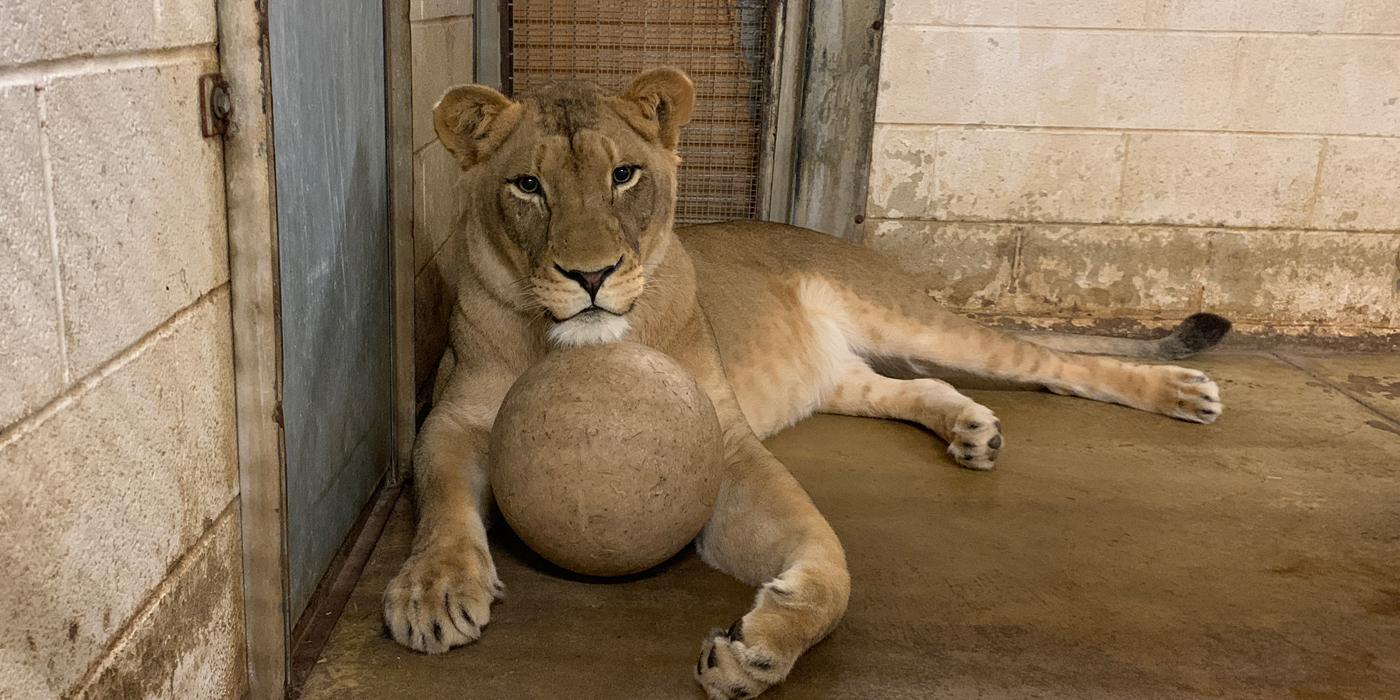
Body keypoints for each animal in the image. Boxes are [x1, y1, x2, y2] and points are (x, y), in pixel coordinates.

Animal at [383, 66, 1226, 700]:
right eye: (527, 185)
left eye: (624, 175)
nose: (589, 275)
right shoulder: (451, 418)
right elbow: (443, 500)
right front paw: (434, 590)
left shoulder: (724, 444)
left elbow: (830, 568)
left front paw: (761, 648)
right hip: (842, 378)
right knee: (910, 388)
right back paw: (970, 429)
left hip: (914, 320)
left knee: (1055, 366)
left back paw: (1183, 392)